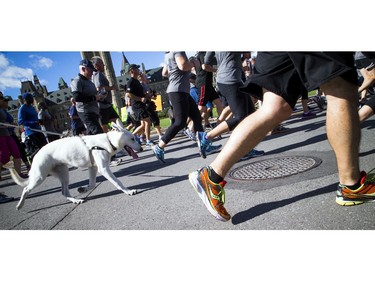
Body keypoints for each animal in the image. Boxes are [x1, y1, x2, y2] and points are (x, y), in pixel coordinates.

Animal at [8, 121, 142, 209]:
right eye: (132, 139)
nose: (141, 148)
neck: (108, 142)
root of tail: (36, 154)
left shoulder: (93, 168)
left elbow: (92, 184)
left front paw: (83, 189)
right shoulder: (103, 169)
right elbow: (117, 182)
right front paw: (128, 191)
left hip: (64, 174)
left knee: (64, 192)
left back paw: (75, 200)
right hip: (39, 177)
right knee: (26, 189)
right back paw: (20, 205)